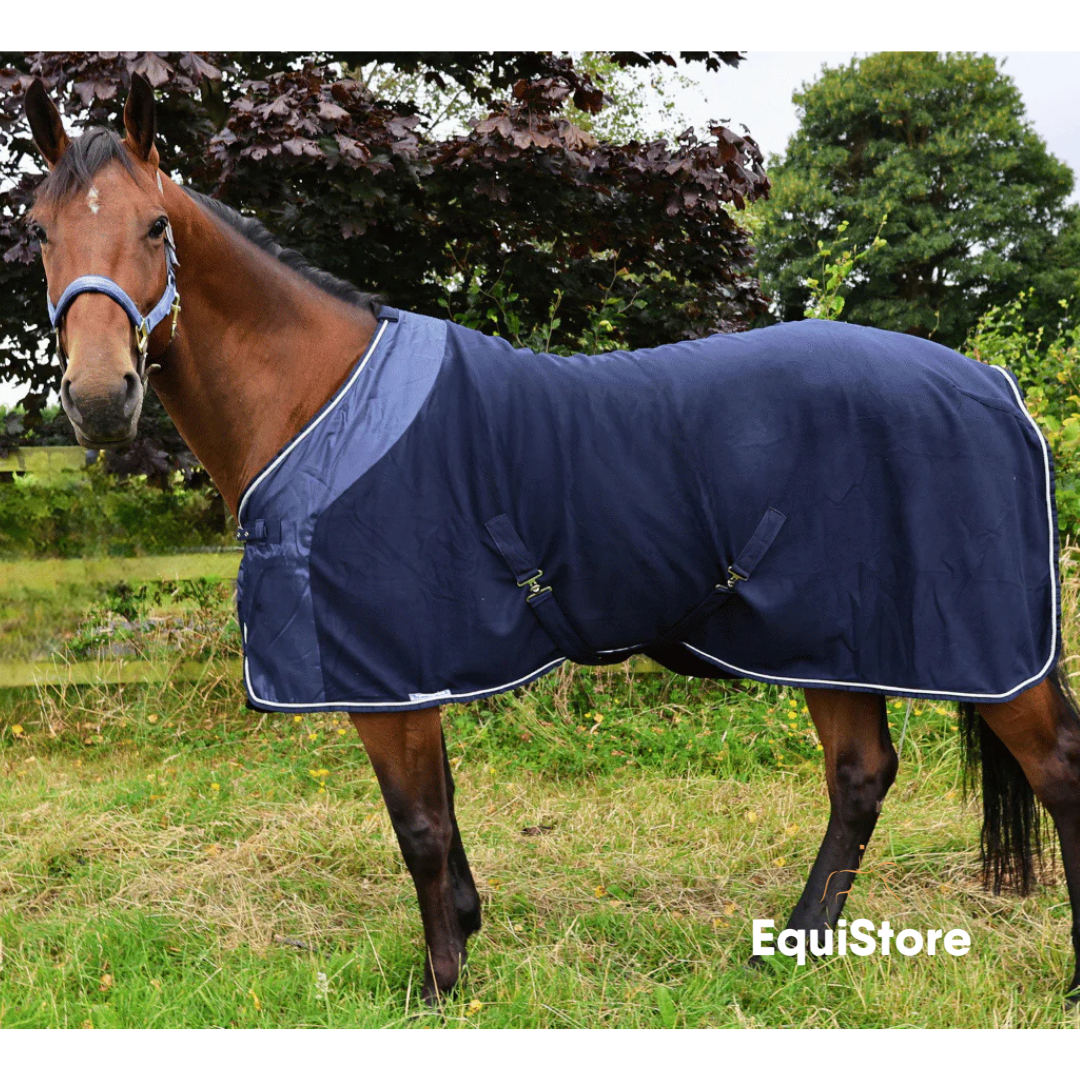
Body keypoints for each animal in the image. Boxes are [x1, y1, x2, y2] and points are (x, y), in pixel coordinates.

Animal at [21, 74, 1080, 1009]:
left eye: (156, 227)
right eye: (40, 231)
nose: (102, 399)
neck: (319, 400)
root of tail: (991, 384)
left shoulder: (385, 670)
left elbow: (417, 823)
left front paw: (440, 988)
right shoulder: (415, 667)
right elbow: (443, 814)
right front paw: (465, 930)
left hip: (969, 647)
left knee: (1056, 767)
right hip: (830, 637)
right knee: (861, 777)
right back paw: (792, 949)